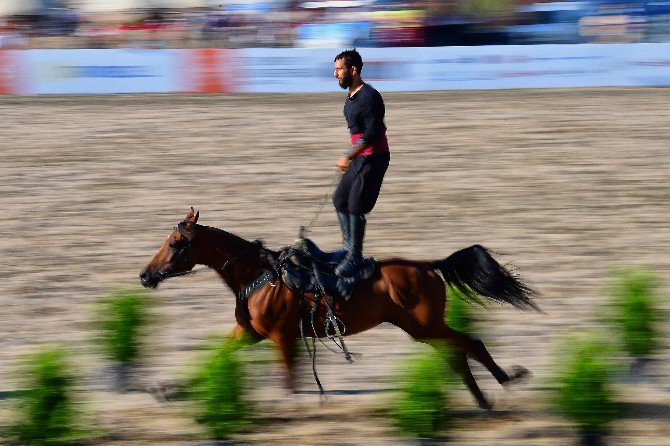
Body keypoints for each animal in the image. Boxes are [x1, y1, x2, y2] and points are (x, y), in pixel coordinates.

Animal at [139, 208, 540, 408]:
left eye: (174, 243)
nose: (145, 275)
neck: (258, 276)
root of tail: (427, 265)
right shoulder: (248, 334)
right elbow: (213, 359)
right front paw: (169, 389)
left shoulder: (283, 339)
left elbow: (289, 383)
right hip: (421, 329)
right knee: (457, 353)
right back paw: (484, 398)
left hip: (425, 326)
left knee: (469, 344)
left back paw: (504, 382)